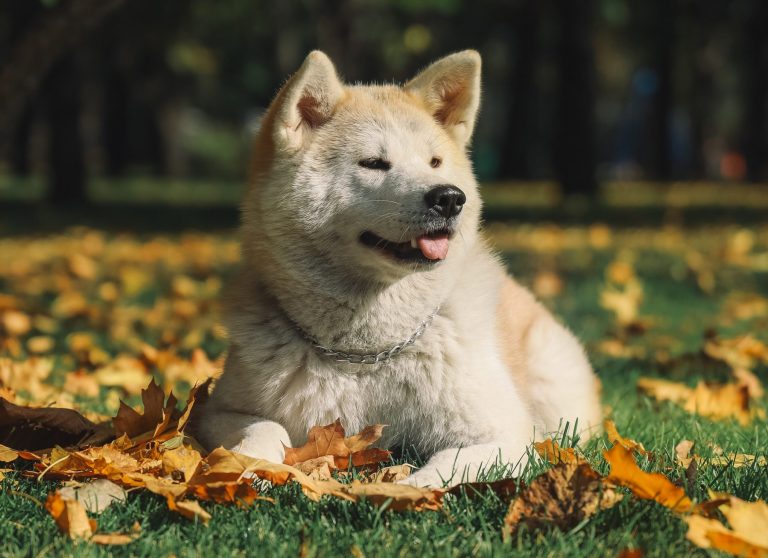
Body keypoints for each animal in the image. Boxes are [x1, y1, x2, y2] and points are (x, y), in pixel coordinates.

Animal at [195, 50, 604, 488]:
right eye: (374, 163)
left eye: (435, 162)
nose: (449, 198)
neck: (366, 354)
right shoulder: (218, 412)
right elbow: (264, 428)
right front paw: (251, 467)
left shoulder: (503, 434)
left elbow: (441, 471)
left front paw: (398, 492)